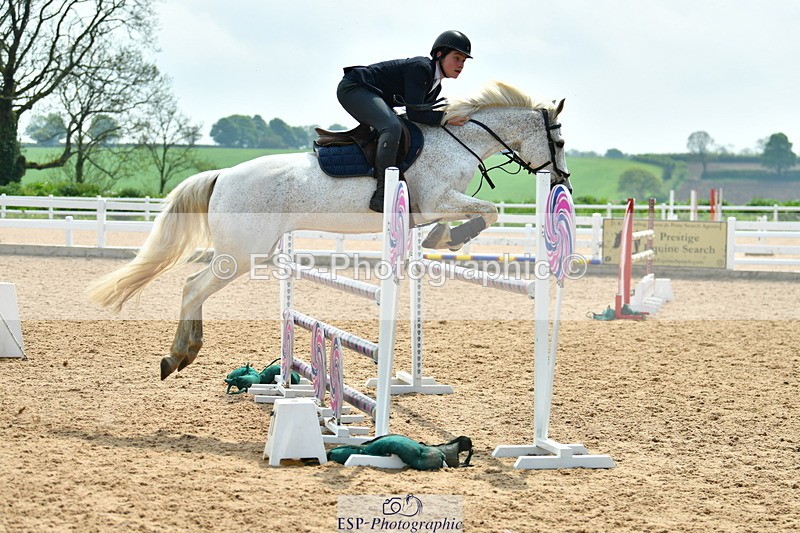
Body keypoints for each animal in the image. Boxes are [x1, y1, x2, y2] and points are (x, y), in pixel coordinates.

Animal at [86, 81, 571, 380]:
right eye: (561, 141)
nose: (562, 181)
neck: (456, 142)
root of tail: (222, 175)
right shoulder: (437, 198)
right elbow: (489, 211)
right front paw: (453, 237)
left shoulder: (426, 208)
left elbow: (467, 217)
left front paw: (439, 238)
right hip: (241, 254)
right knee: (193, 286)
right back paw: (179, 355)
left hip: (248, 251)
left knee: (193, 284)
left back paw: (183, 353)